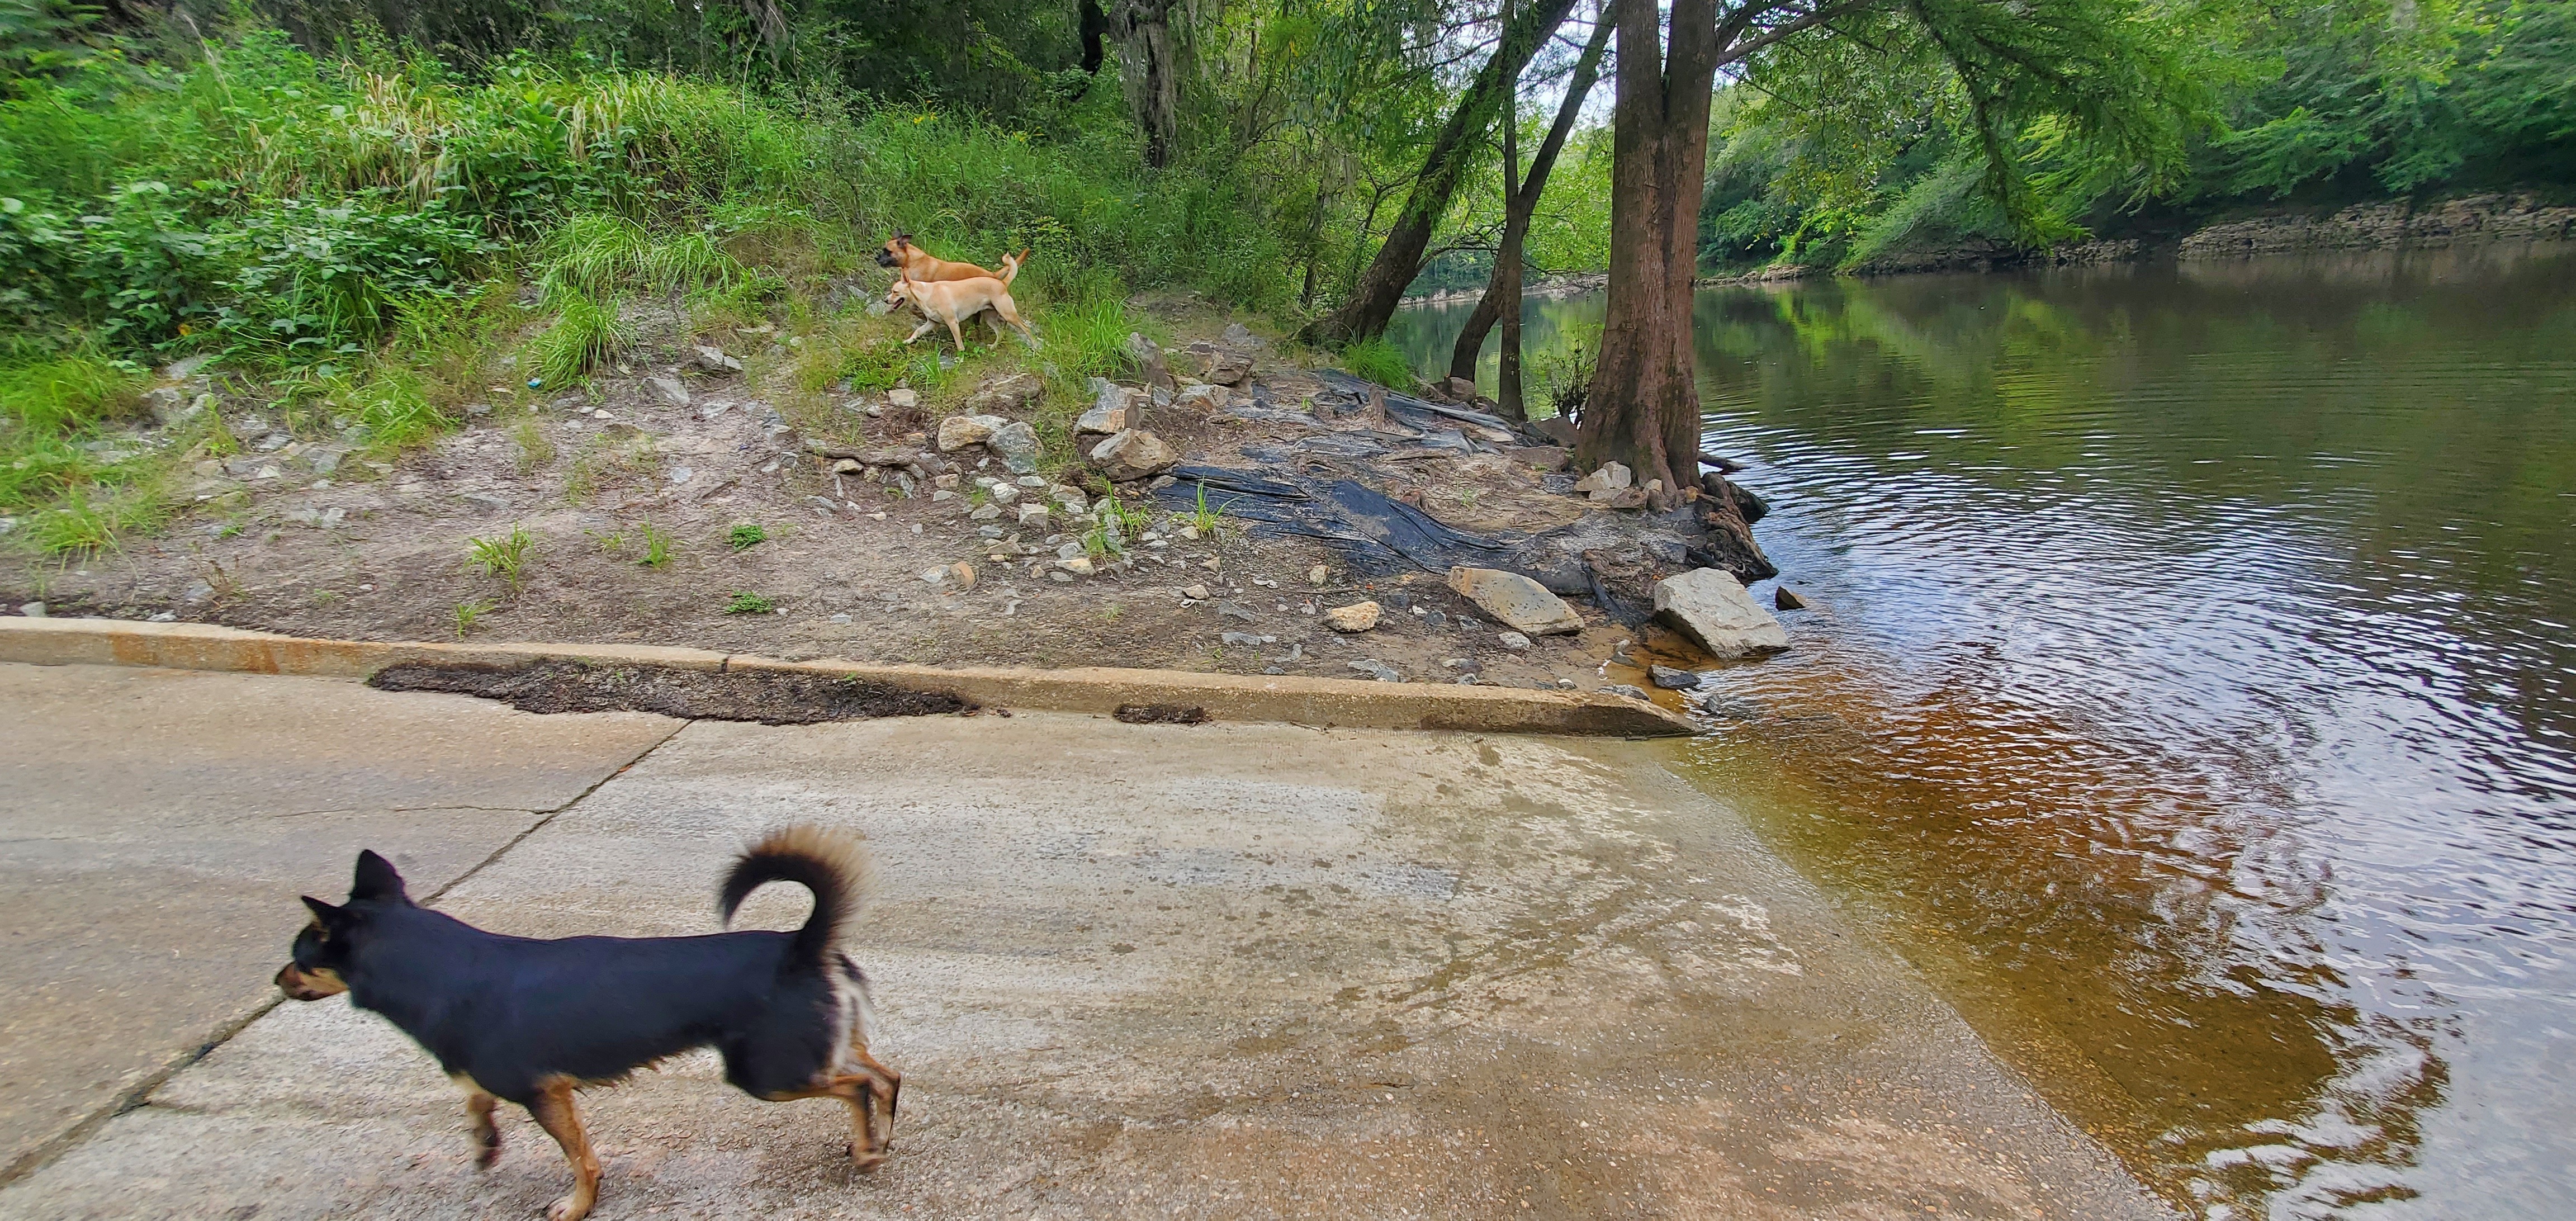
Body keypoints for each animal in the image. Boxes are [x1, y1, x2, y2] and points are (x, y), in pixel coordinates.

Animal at [277, 824, 901, 1215]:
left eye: (301, 958)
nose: (277, 980)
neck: (438, 966)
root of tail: (800, 947)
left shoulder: (546, 1094)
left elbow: (581, 1160)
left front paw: (577, 1206)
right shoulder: (504, 1080)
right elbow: (474, 1098)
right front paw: (484, 1144)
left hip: (767, 1074)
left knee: (856, 1087)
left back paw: (868, 1148)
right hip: (818, 1049)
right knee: (884, 1078)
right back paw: (878, 1140)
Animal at [886, 255, 1035, 350]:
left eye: (895, 292)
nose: (885, 300)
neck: (926, 294)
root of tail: (1002, 283)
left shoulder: (953, 323)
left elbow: (959, 344)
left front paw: (961, 358)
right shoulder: (932, 323)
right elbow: (917, 332)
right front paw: (907, 341)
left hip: (1008, 314)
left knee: (1026, 329)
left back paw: (1035, 347)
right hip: (990, 318)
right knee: (1000, 333)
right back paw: (993, 347)